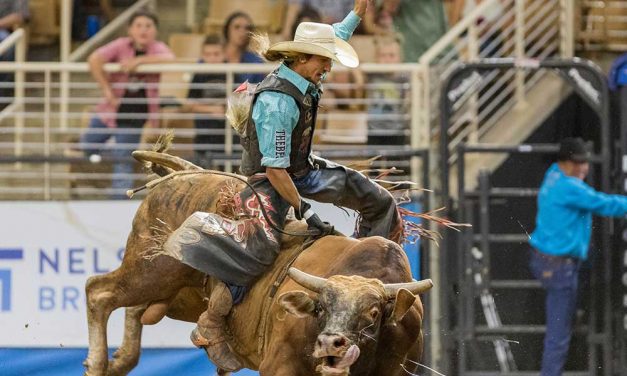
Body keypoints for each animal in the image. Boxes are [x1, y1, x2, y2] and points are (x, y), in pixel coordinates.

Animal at [83, 155, 432, 374]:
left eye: (372, 313)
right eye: (319, 307)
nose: (330, 344)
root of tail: (185, 175)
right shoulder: (280, 365)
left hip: (175, 293)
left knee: (135, 308)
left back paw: (121, 361)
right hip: (155, 269)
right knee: (99, 291)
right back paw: (99, 364)